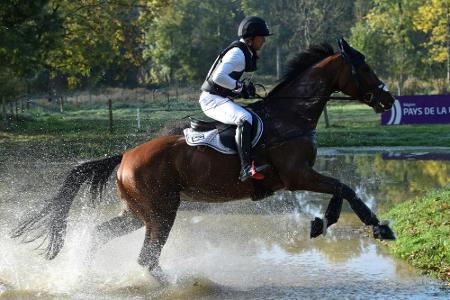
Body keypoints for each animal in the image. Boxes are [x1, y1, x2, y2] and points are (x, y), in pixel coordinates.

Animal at [12, 38, 396, 282]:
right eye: (364, 67)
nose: (388, 100)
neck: (292, 116)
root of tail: (125, 156)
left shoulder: (303, 176)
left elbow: (341, 191)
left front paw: (324, 222)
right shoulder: (298, 175)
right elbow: (345, 188)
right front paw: (377, 226)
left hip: (138, 213)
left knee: (99, 235)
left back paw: (84, 275)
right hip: (162, 212)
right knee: (146, 257)